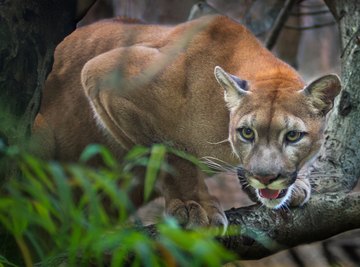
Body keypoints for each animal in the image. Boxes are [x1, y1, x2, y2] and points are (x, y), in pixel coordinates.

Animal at [33, 15, 340, 232]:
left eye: (293, 136)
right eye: (247, 133)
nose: (266, 177)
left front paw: (296, 185)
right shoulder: (104, 75)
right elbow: (169, 155)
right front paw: (195, 206)